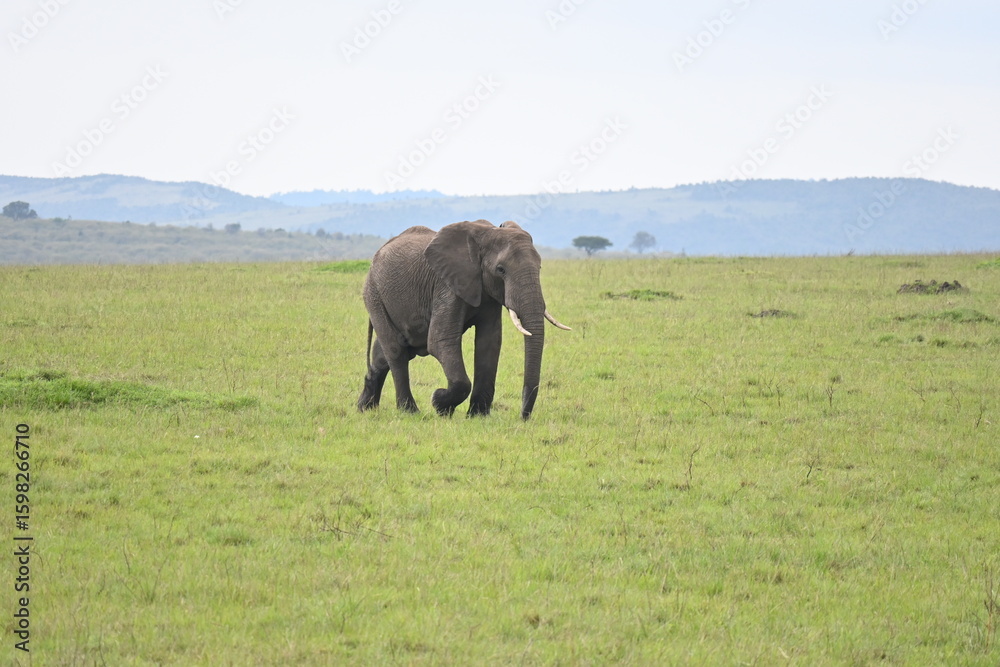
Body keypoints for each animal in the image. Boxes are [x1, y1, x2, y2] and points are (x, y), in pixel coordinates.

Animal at [357, 219, 570, 420]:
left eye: (540, 266)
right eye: (501, 270)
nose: (523, 417)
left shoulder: (487, 293)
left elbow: (489, 343)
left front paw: (478, 416)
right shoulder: (447, 286)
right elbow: (440, 340)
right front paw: (439, 403)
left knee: (384, 354)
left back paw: (364, 409)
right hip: (374, 294)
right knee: (396, 351)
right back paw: (409, 412)